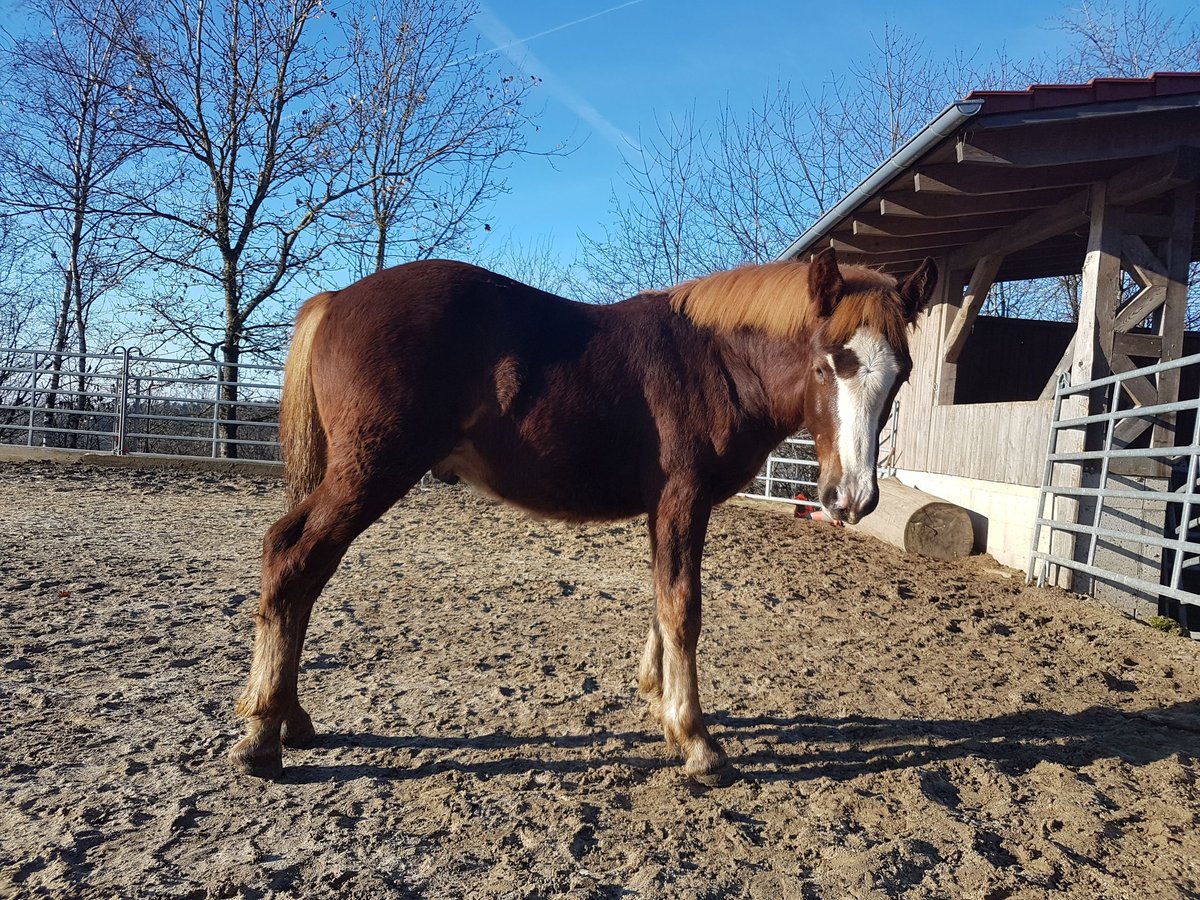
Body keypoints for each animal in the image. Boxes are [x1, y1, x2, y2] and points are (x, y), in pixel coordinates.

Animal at [231, 250, 936, 787]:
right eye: (827, 363)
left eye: (900, 373)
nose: (851, 497)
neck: (715, 362)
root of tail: (337, 299)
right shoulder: (682, 498)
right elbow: (683, 606)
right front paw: (697, 742)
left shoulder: (670, 506)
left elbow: (663, 597)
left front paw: (661, 704)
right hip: (367, 477)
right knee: (291, 559)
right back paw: (263, 734)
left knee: (302, 567)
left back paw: (291, 718)